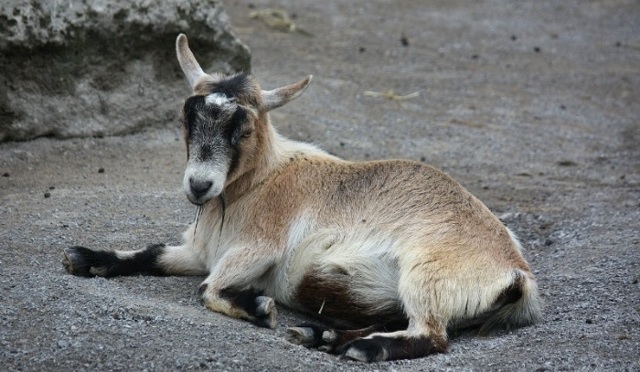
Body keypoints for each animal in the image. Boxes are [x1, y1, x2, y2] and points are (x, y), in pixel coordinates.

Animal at [62, 33, 544, 362]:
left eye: (243, 127)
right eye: (187, 118)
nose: (199, 185)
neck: (257, 183)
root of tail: (516, 272)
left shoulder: (260, 247)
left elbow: (207, 287)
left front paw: (260, 309)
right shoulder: (200, 249)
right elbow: (152, 253)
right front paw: (84, 258)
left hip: (427, 275)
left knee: (431, 335)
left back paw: (360, 349)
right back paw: (321, 336)